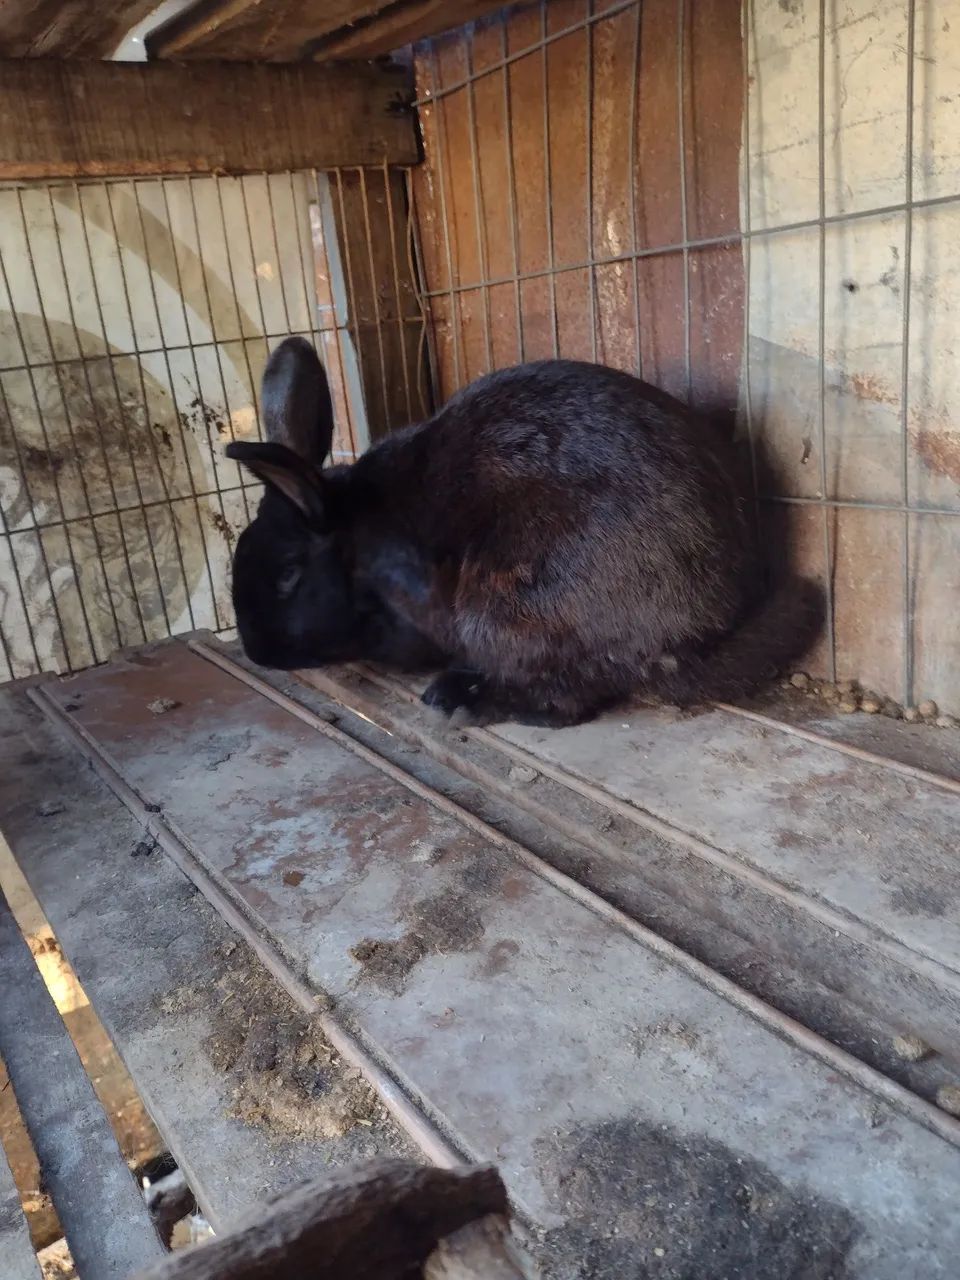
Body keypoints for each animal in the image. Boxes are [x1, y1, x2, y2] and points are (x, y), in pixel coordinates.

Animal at [226, 337, 820, 727]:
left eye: (287, 575)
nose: (257, 652)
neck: (355, 545)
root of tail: (689, 645)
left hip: (504, 608)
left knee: (565, 702)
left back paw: (459, 700)